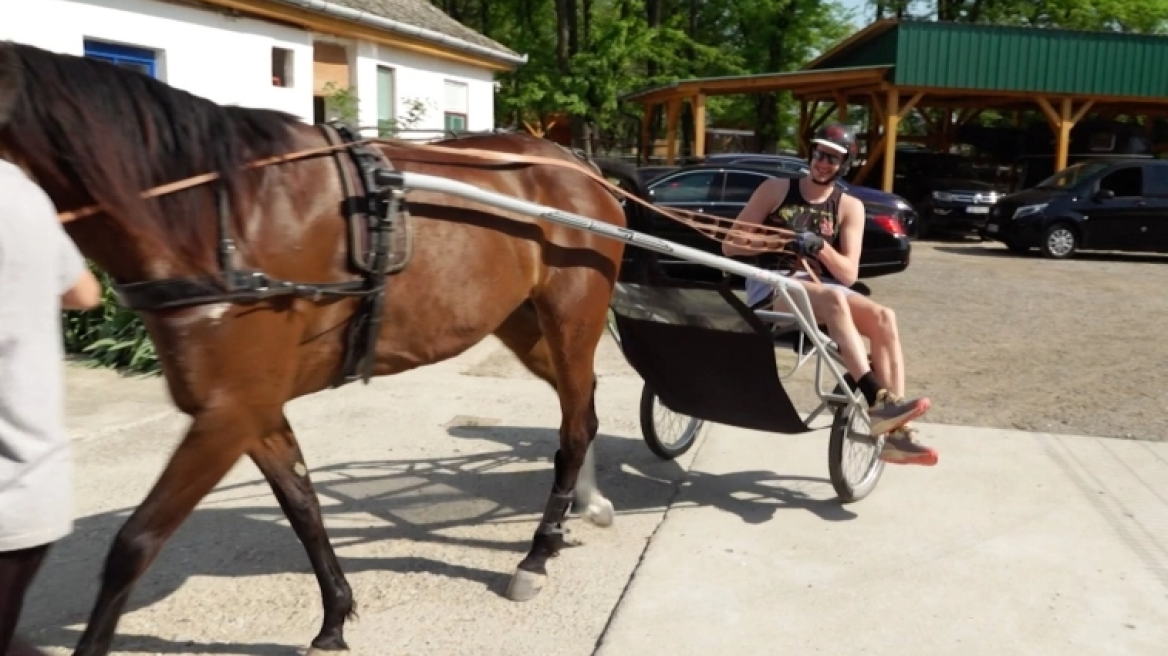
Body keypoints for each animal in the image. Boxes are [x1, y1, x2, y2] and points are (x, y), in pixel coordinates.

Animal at [0, 39, 649, 648]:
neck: (218, 219)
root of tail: (578, 165)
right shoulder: (252, 410)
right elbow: (303, 506)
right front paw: (335, 616)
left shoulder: (228, 413)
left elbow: (135, 543)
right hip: (523, 324)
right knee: (582, 410)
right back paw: (582, 511)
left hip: (571, 319)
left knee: (574, 427)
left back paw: (538, 551)